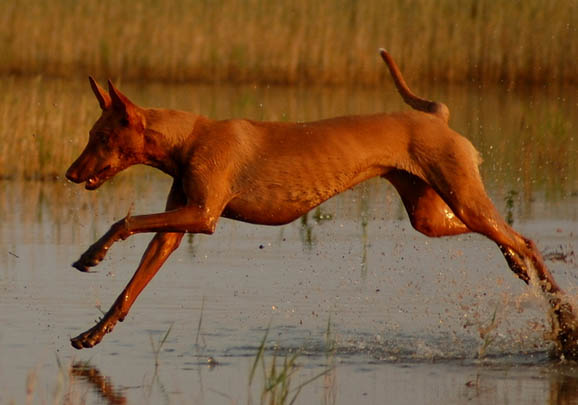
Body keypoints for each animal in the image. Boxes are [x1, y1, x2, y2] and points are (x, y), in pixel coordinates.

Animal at [65, 49, 572, 356]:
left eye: (102, 138)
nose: (69, 174)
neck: (189, 138)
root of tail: (437, 117)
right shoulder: (174, 228)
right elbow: (129, 289)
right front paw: (94, 331)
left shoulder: (201, 216)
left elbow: (125, 222)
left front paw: (92, 253)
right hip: (432, 216)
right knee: (508, 237)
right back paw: (521, 272)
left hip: (462, 198)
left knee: (526, 239)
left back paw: (564, 317)